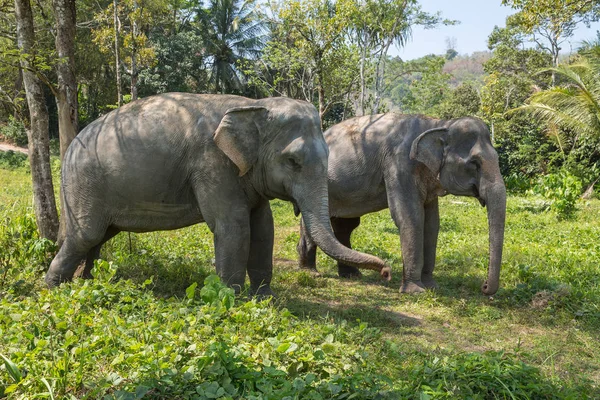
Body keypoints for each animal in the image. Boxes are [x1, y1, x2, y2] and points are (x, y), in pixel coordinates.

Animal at [48, 92, 394, 296]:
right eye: (293, 162)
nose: (387, 271)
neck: (252, 104)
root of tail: (68, 150)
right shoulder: (212, 164)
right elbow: (234, 226)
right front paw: (231, 299)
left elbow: (263, 227)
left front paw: (263, 299)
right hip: (85, 184)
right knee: (86, 234)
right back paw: (53, 288)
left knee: (99, 236)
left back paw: (86, 281)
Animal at [296, 114, 506, 296]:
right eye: (474, 163)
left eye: (497, 159)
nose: (484, 286)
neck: (438, 123)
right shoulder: (399, 166)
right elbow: (411, 217)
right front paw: (415, 291)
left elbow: (432, 223)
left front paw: (432, 287)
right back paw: (311, 273)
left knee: (346, 225)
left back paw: (352, 275)